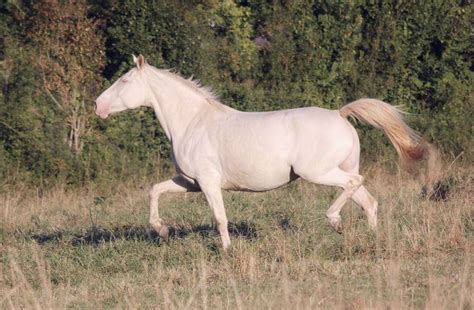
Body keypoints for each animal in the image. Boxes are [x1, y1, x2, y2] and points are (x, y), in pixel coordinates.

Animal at [94, 55, 420, 249]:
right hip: (340, 169)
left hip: (319, 172)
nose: (98, 105)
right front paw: (161, 230)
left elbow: (220, 218)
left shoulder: (209, 183)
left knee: (355, 186)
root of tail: (339, 114)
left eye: (124, 80)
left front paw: (226, 250)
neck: (193, 121)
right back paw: (369, 239)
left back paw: (335, 222)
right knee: (368, 202)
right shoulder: (190, 183)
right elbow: (155, 190)